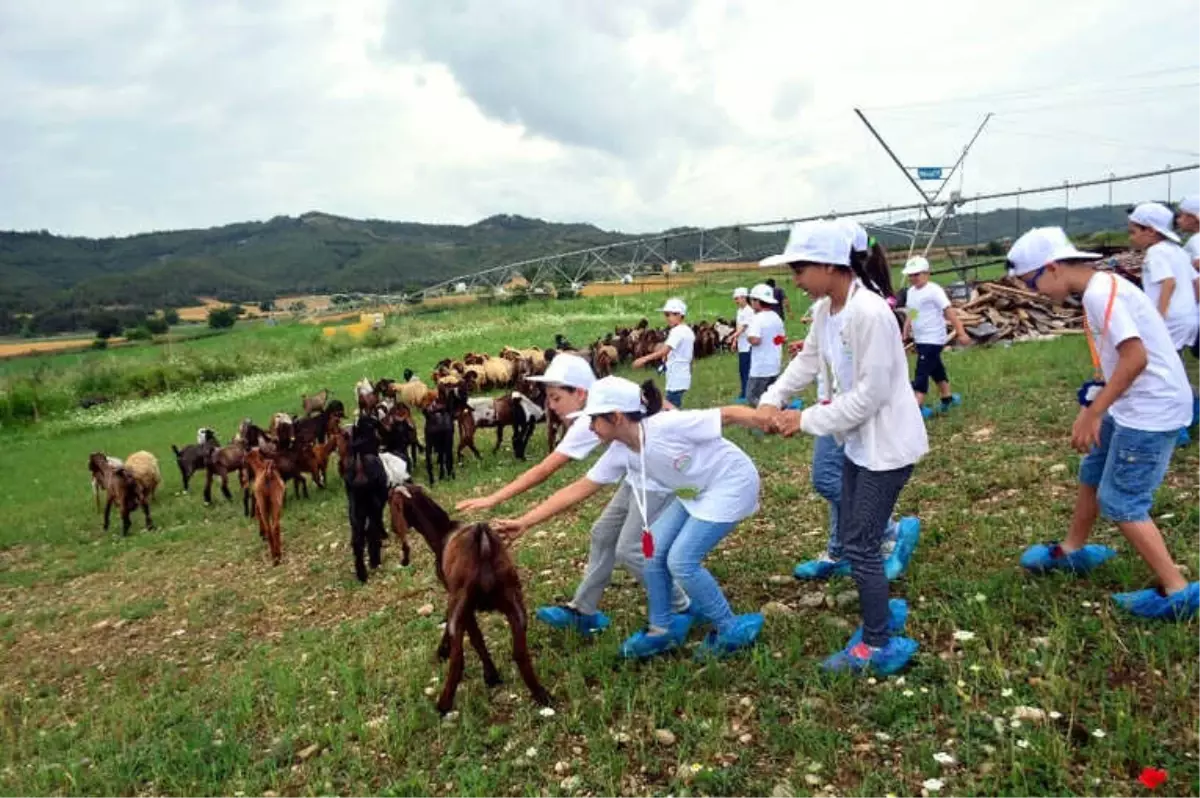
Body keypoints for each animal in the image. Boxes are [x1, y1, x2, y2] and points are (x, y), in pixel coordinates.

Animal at [400, 482, 549, 710]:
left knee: (459, 660)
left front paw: (490, 675)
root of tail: (483, 544)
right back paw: (541, 695)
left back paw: (443, 705)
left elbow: (475, 637)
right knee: (520, 653)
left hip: (463, 606)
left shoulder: (458, 602)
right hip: (514, 603)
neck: (442, 532)